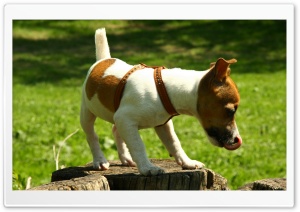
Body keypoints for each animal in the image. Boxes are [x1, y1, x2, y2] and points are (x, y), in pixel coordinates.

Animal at [79, 28, 241, 177]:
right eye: (231, 110)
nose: (236, 139)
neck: (164, 88)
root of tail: (104, 60)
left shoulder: (161, 125)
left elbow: (174, 143)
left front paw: (187, 162)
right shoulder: (125, 119)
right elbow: (138, 145)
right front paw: (147, 168)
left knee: (115, 130)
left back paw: (126, 158)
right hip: (87, 112)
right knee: (91, 135)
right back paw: (100, 160)